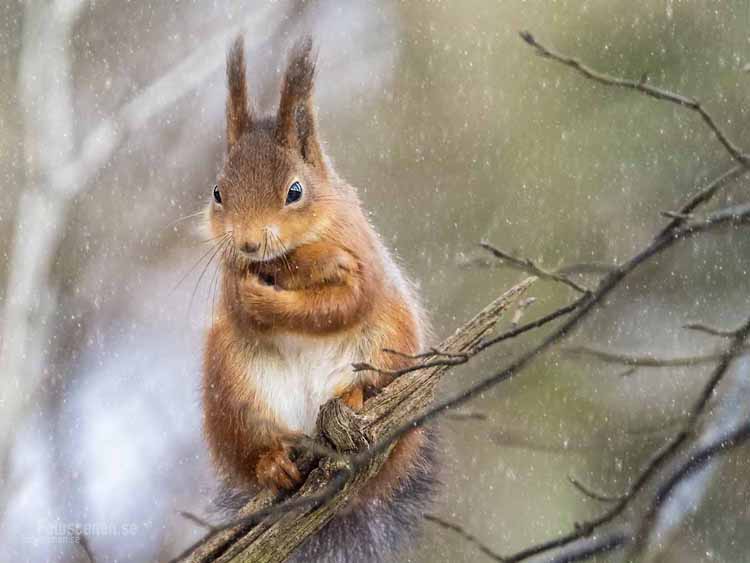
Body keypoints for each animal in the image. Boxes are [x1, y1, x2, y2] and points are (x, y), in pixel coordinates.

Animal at [201, 36, 438, 562]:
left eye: (295, 191)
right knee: (255, 450)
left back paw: (353, 394)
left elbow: (342, 305)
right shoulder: (227, 277)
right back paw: (273, 463)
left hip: (386, 347)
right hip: (236, 390)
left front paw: (281, 293)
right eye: (217, 193)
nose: (248, 243)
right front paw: (253, 291)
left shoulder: (360, 257)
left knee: (369, 382)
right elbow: (237, 304)